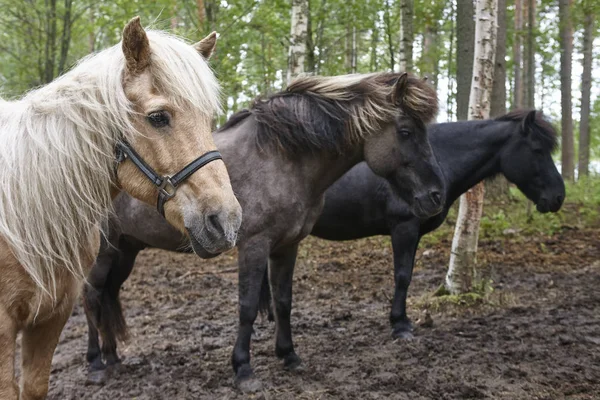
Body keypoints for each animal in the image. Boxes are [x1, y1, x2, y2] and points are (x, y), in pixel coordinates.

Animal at [82, 72, 442, 390]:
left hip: (125, 249)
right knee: (91, 297)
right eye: (406, 131)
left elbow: (283, 301)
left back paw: (113, 357)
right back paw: (96, 364)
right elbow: (248, 307)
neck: (283, 158)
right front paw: (243, 369)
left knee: (108, 295)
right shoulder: (254, 246)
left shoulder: (287, 246)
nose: (436, 196)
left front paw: (289, 355)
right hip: (101, 253)